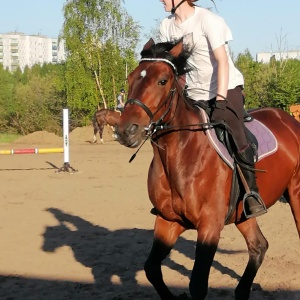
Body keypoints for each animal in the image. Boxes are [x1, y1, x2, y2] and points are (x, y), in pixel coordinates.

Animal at [115, 38, 300, 298]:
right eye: (131, 78)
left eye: (163, 80)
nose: (126, 130)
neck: (182, 155)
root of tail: (290, 121)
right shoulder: (168, 221)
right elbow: (151, 269)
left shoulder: (209, 226)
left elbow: (198, 284)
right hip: (243, 213)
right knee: (258, 245)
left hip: (295, 194)